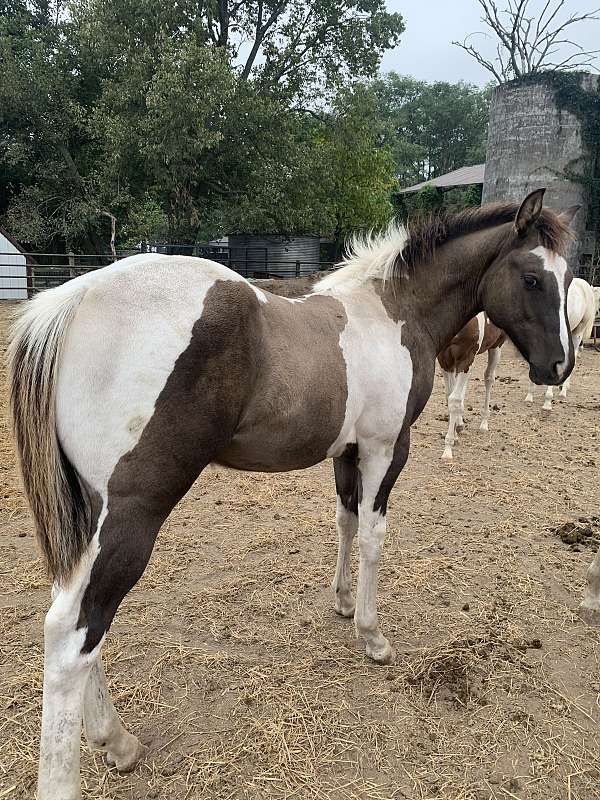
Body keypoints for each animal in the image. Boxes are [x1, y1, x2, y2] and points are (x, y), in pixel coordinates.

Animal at [436, 314, 506, 462]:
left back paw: (484, 423)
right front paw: (456, 431)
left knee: (489, 378)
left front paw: (448, 450)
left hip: (497, 345)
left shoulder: (466, 356)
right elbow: (450, 396)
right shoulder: (444, 358)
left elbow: (455, 399)